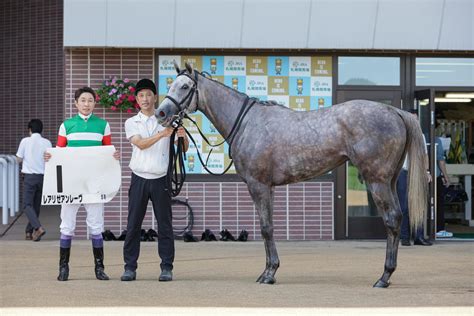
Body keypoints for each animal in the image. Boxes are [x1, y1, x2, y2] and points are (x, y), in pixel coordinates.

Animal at [156, 62, 430, 288]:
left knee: (392, 219)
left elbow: (266, 228)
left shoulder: (258, 185)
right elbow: (268, 226)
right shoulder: (269, 187)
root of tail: (395, 112)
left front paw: (269, 274)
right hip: (389, 181)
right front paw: (269, 270)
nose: (161, 114)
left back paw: (384, 277)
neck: (247, 123)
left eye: (184, 86)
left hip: (377, 182)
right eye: (171, 84)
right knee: (396, 218)